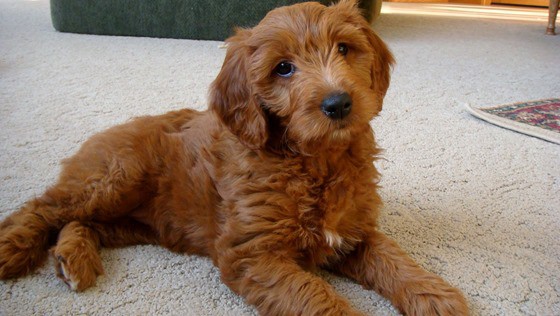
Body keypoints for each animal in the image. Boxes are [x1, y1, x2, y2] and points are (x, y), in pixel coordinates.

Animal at [0, 1, 468, 314]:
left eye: (344, 49)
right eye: (283, 68)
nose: (338, 103)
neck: (317, 161)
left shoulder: (355, 233)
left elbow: (395, 259)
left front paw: (435, 296)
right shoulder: (252, 254)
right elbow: (318, 297)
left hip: (134, 222)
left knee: (80, 222)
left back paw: (73, 258)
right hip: (116, 177)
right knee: (43, 207)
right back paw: (12, 249)